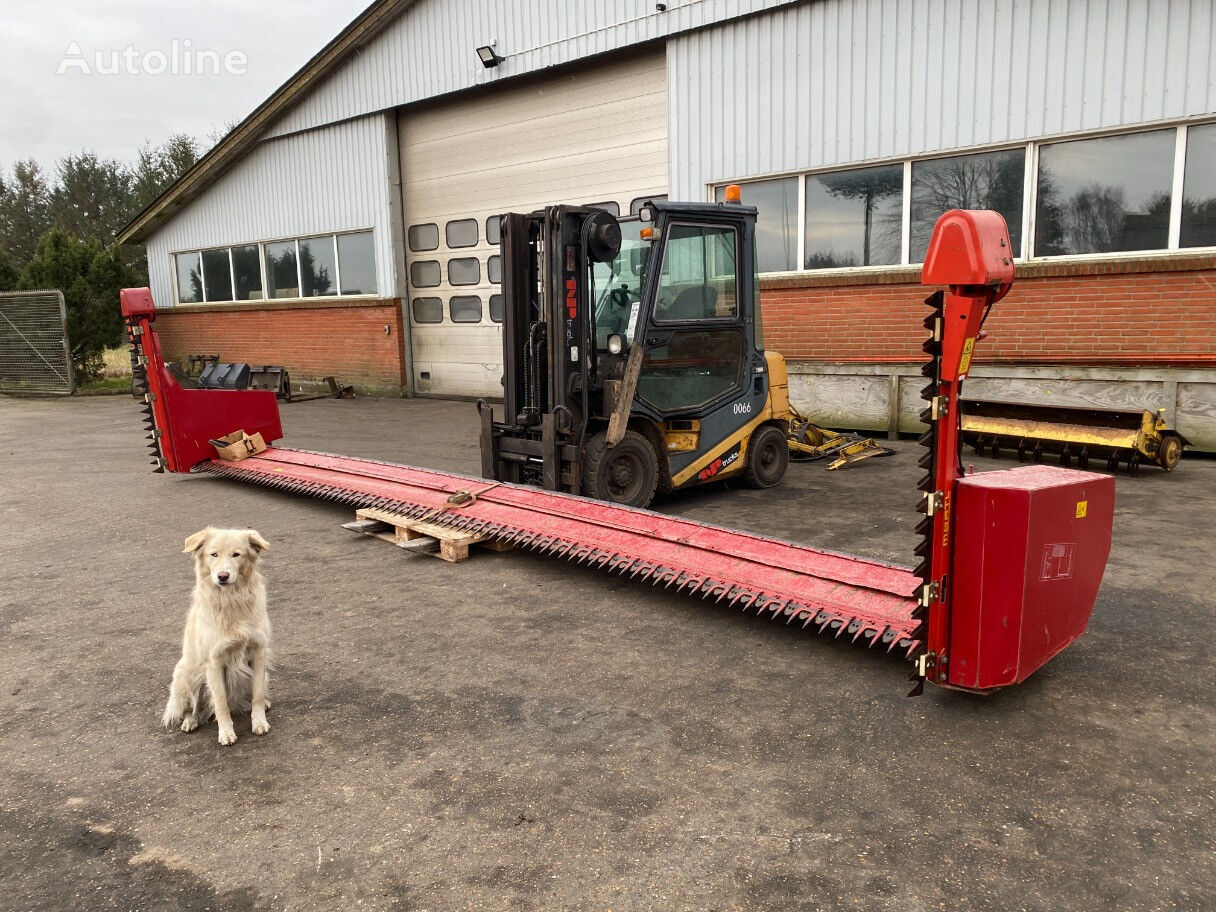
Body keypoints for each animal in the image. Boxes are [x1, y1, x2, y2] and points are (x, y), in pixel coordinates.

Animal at [161, 527, 271, 749]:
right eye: (214, 555)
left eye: (236, 554)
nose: (223, 576)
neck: (231, 599)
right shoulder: (214, 661)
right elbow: (220, 703)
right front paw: (226, 732)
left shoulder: (258, 651)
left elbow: (257, 693)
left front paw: (259, 721)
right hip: (187, 674)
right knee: (194, 707)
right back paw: (190, 721)